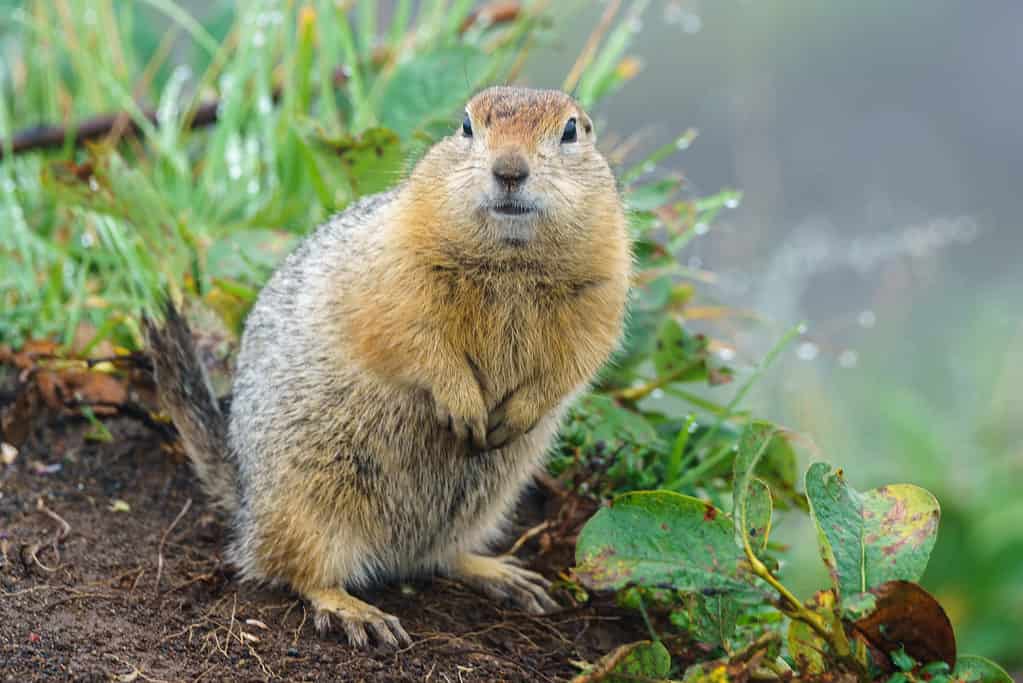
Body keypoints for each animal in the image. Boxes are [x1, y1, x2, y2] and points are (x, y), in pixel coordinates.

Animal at [145, 87, 630, 650]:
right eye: (466, 125)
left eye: (571, 131)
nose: (509, 169)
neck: (511, 259)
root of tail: (246, 497)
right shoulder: (396, 270)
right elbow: (415, 339)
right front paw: (462, 406)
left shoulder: (603, 286)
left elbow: (575, 360)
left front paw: (518, 413)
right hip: (307, 504)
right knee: (292, 570)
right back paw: (355, 611)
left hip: (480, 506)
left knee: (437, 557)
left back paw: (502, 575)